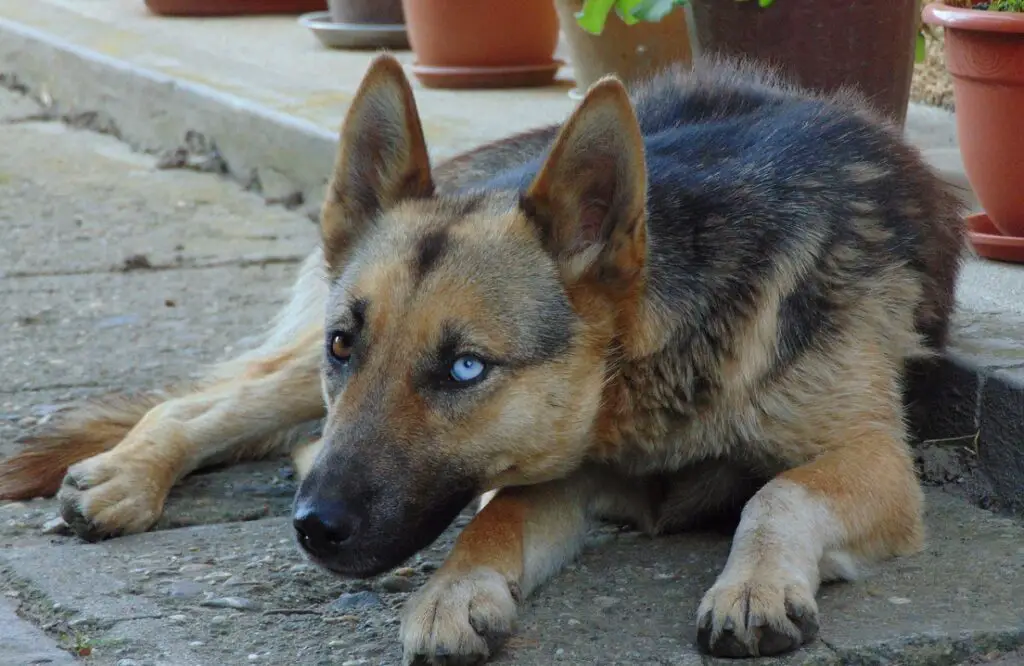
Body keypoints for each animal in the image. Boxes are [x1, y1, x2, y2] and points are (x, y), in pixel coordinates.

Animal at [0, 54, 962, 659]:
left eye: (467, 369)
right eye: (347, 346)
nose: (313, 529)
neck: (647, 372)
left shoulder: (875, 458)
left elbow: (777, 492)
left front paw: (752, 585)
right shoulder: (555, 472)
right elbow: (494, 517)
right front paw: (454, 591)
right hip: (294, 381)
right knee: (206, 401)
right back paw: (126, 475)